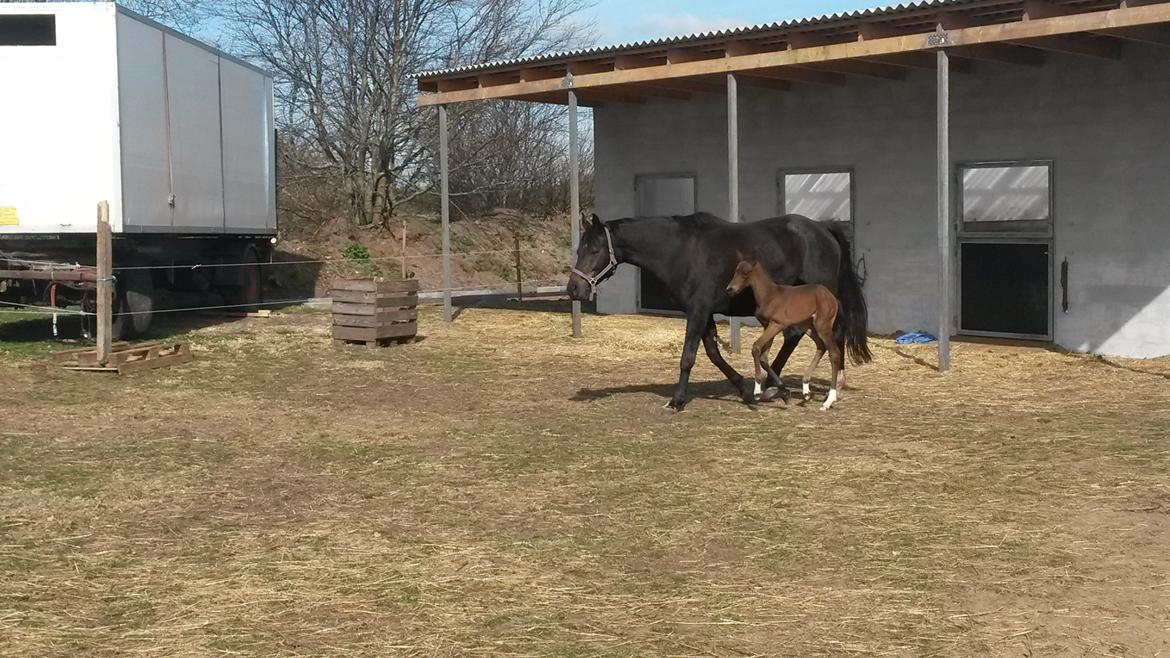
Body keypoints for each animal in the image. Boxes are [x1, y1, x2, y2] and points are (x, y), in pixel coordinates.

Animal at [720, 259, 842, 405]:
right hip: (807, 326)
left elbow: (756, 347)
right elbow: (763, 357)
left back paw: (829, 399)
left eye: (746, 272)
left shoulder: (776, 325)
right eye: (736, 270)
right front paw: (783, 390)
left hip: (822, 326)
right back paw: (806, 391)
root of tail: (831, 296)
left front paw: (757, 392)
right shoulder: (767, 326)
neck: (769, 295)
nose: (730, 289)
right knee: (821, 346)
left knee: (834, 353)